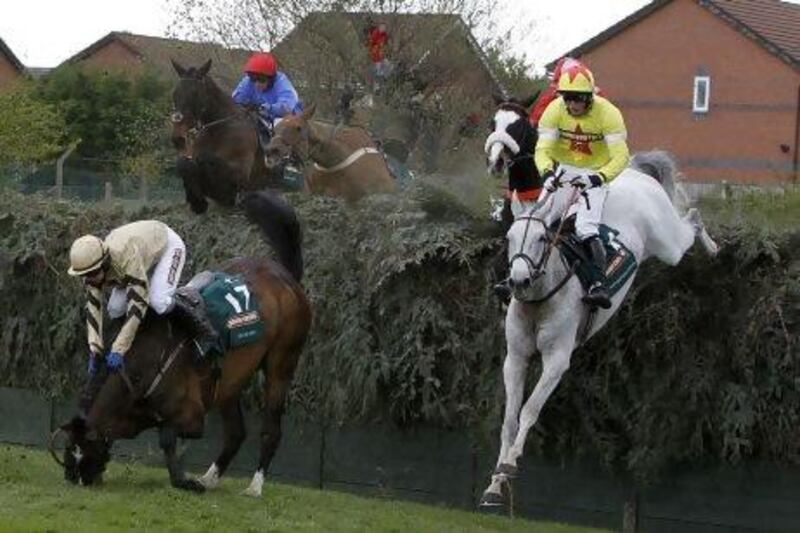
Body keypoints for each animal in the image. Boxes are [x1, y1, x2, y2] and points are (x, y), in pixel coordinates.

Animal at [53, 190, 312, 494]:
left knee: (271, 429)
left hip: (282, 362)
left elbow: (166, 436)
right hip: (230, 381)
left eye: (84, 452)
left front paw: (184, 480)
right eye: (70, 451)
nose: (77, 479)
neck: (143, 368)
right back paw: (210, 478)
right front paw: (191, 480)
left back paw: (254, 487)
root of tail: (283, 275)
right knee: (236, 432)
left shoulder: (192, 415)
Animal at [169, 59, 284, 214]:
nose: (177, 138)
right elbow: (185, 163)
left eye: (195, 93)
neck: (218, 129)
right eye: (175, 93)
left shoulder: (239, 174)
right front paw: (197, 202)